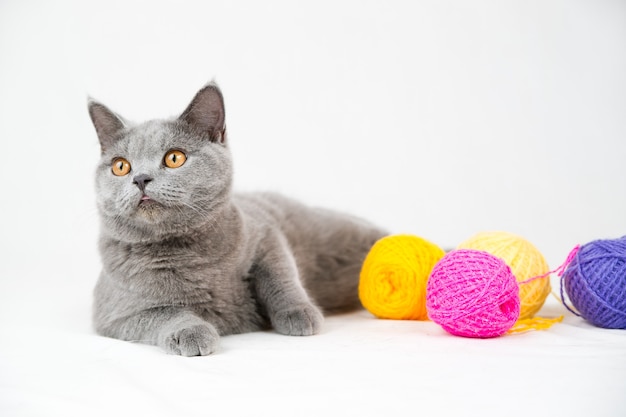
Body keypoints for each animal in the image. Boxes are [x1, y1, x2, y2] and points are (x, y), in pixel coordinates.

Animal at [88, 83, 386, 356]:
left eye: (174, 158)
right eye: (121, 166)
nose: (140, 178)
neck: (189, 253)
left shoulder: (265, 231)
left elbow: (279, 274)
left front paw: (298, 312)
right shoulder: (114, 314)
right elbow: (164, 313)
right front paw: (192, 331)